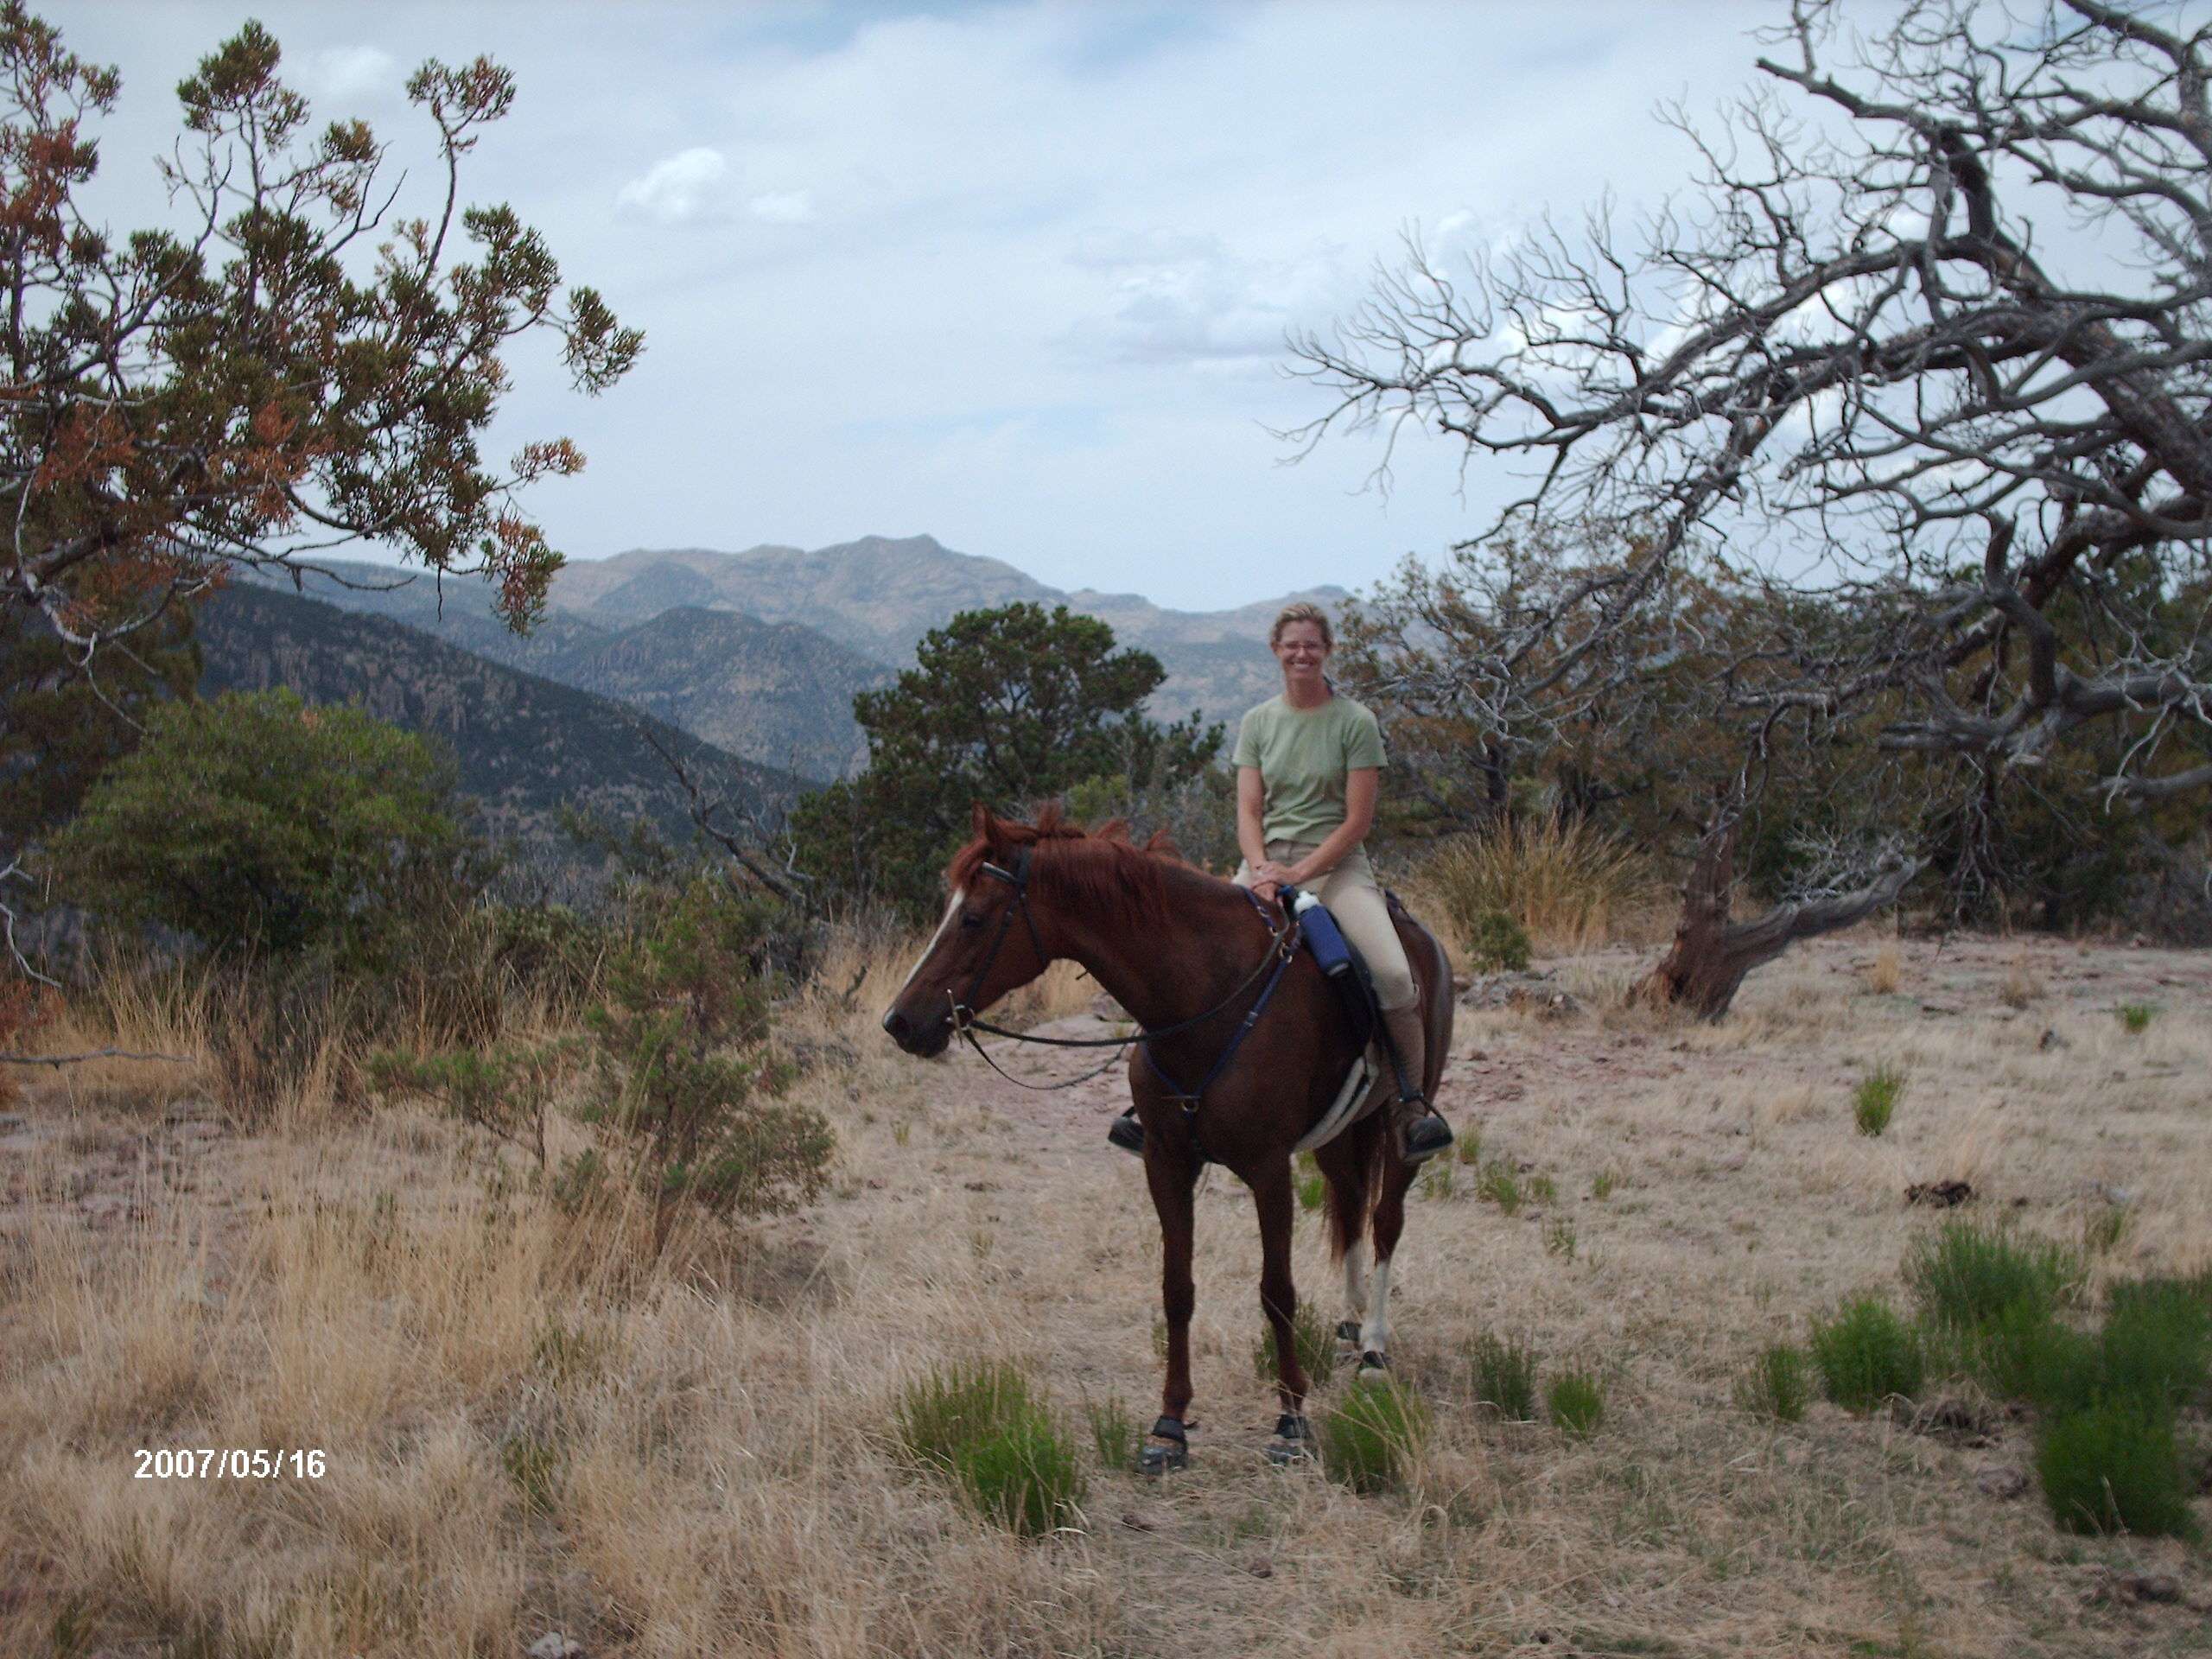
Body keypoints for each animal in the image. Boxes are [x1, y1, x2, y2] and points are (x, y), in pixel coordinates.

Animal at [871, 804, 1459, 1468]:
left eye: (972, 918)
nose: (900, 1021)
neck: (1205, 995)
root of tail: (1422, 939)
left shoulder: (1268, 1169)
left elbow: (1276, 1291)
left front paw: (1290, 1418)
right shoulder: (1166, 1162)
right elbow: (1177, 1289)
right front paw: (1170, 1425)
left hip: (1399, 1126)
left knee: (1385, 1220)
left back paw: (1375, 1350)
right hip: (1339, 1134)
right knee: (1353, 1203)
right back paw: (1351, 1324)